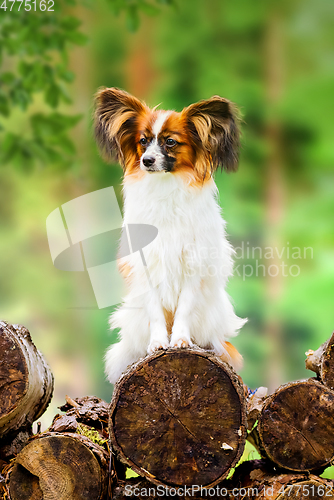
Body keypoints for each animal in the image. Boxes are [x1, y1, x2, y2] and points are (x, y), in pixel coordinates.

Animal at [94, 88, 245, 382]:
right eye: (143, 141)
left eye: (170, 142)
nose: (147, 161)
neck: (165, 189)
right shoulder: (147, 265)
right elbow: (155, 311)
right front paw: (158, 343)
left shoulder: (193, 264)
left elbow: (185, 307)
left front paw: (181, 341)